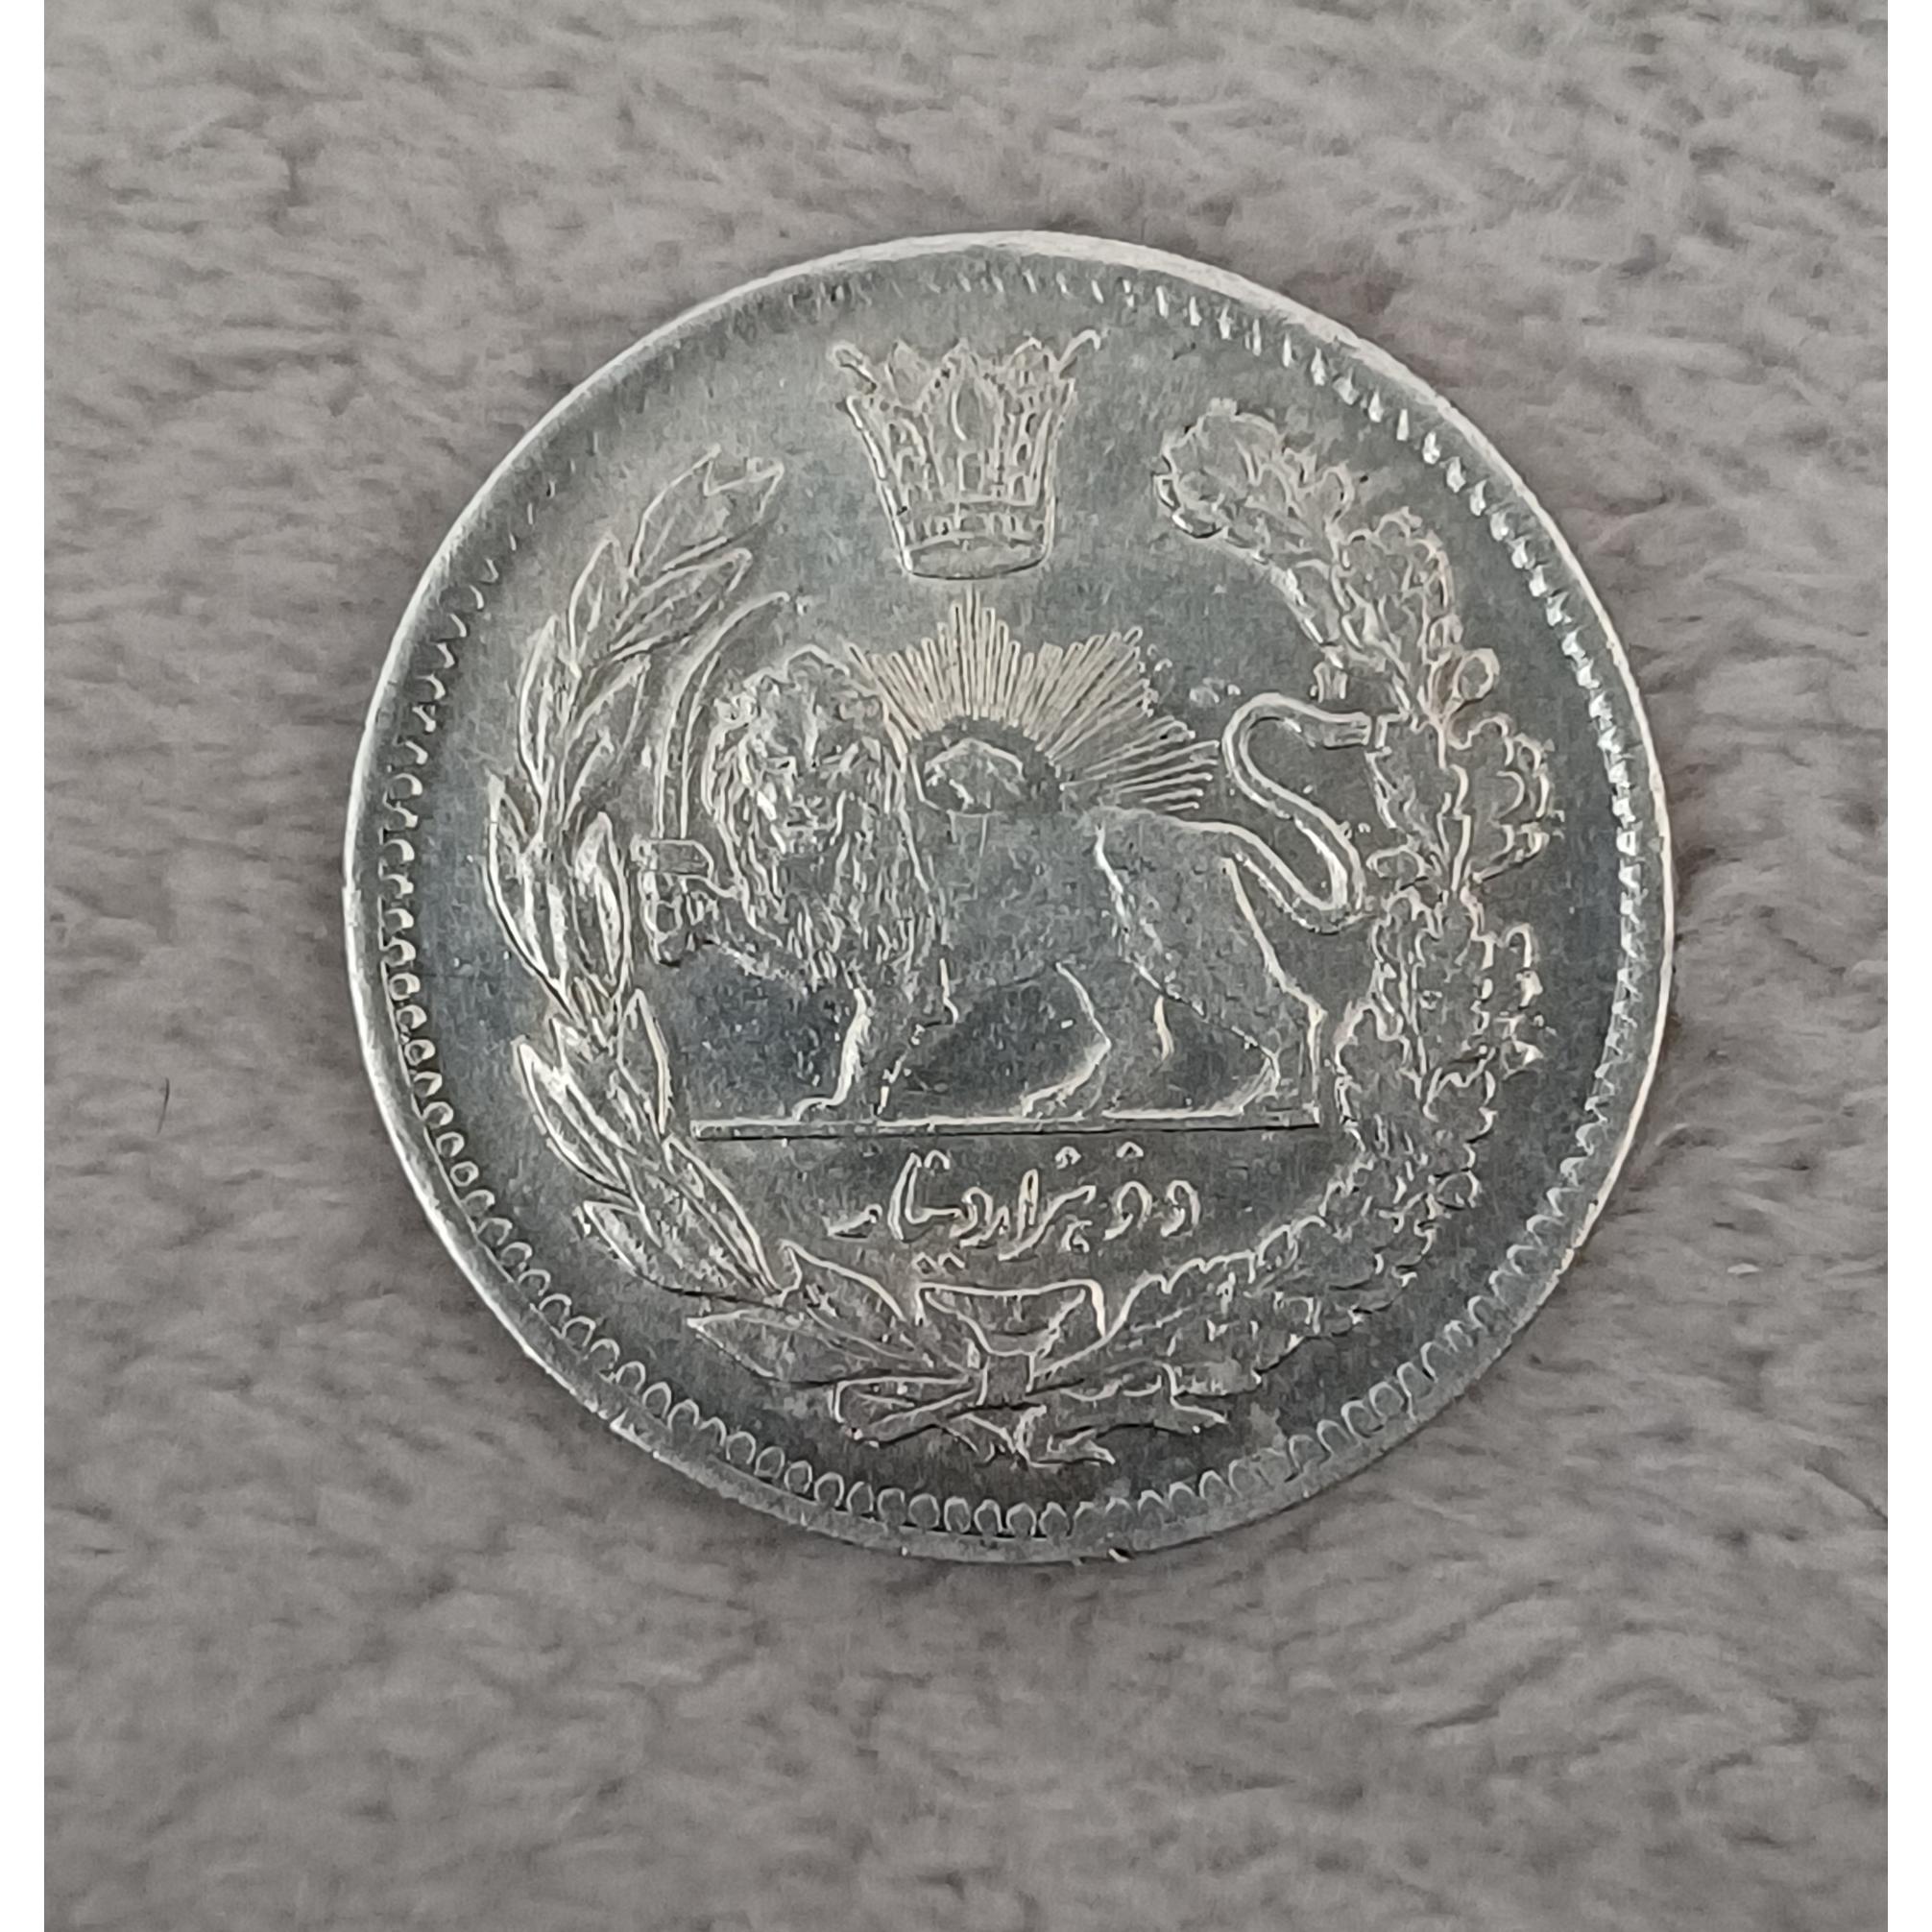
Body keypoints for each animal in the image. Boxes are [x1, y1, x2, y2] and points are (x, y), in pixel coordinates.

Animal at [670, 640, 1371, 1125]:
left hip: (1188, 945)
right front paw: (684, 898)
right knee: (1140, 1041)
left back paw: (1274, 1101)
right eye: (776, 755)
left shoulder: (900, 971)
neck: (826, 852)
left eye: (834, 753)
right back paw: (1067, 1104)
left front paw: (841, 1110)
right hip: (1103, 963)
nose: (804, 805)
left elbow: (865, 1041)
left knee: (1286, 1011)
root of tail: (1207, 836)